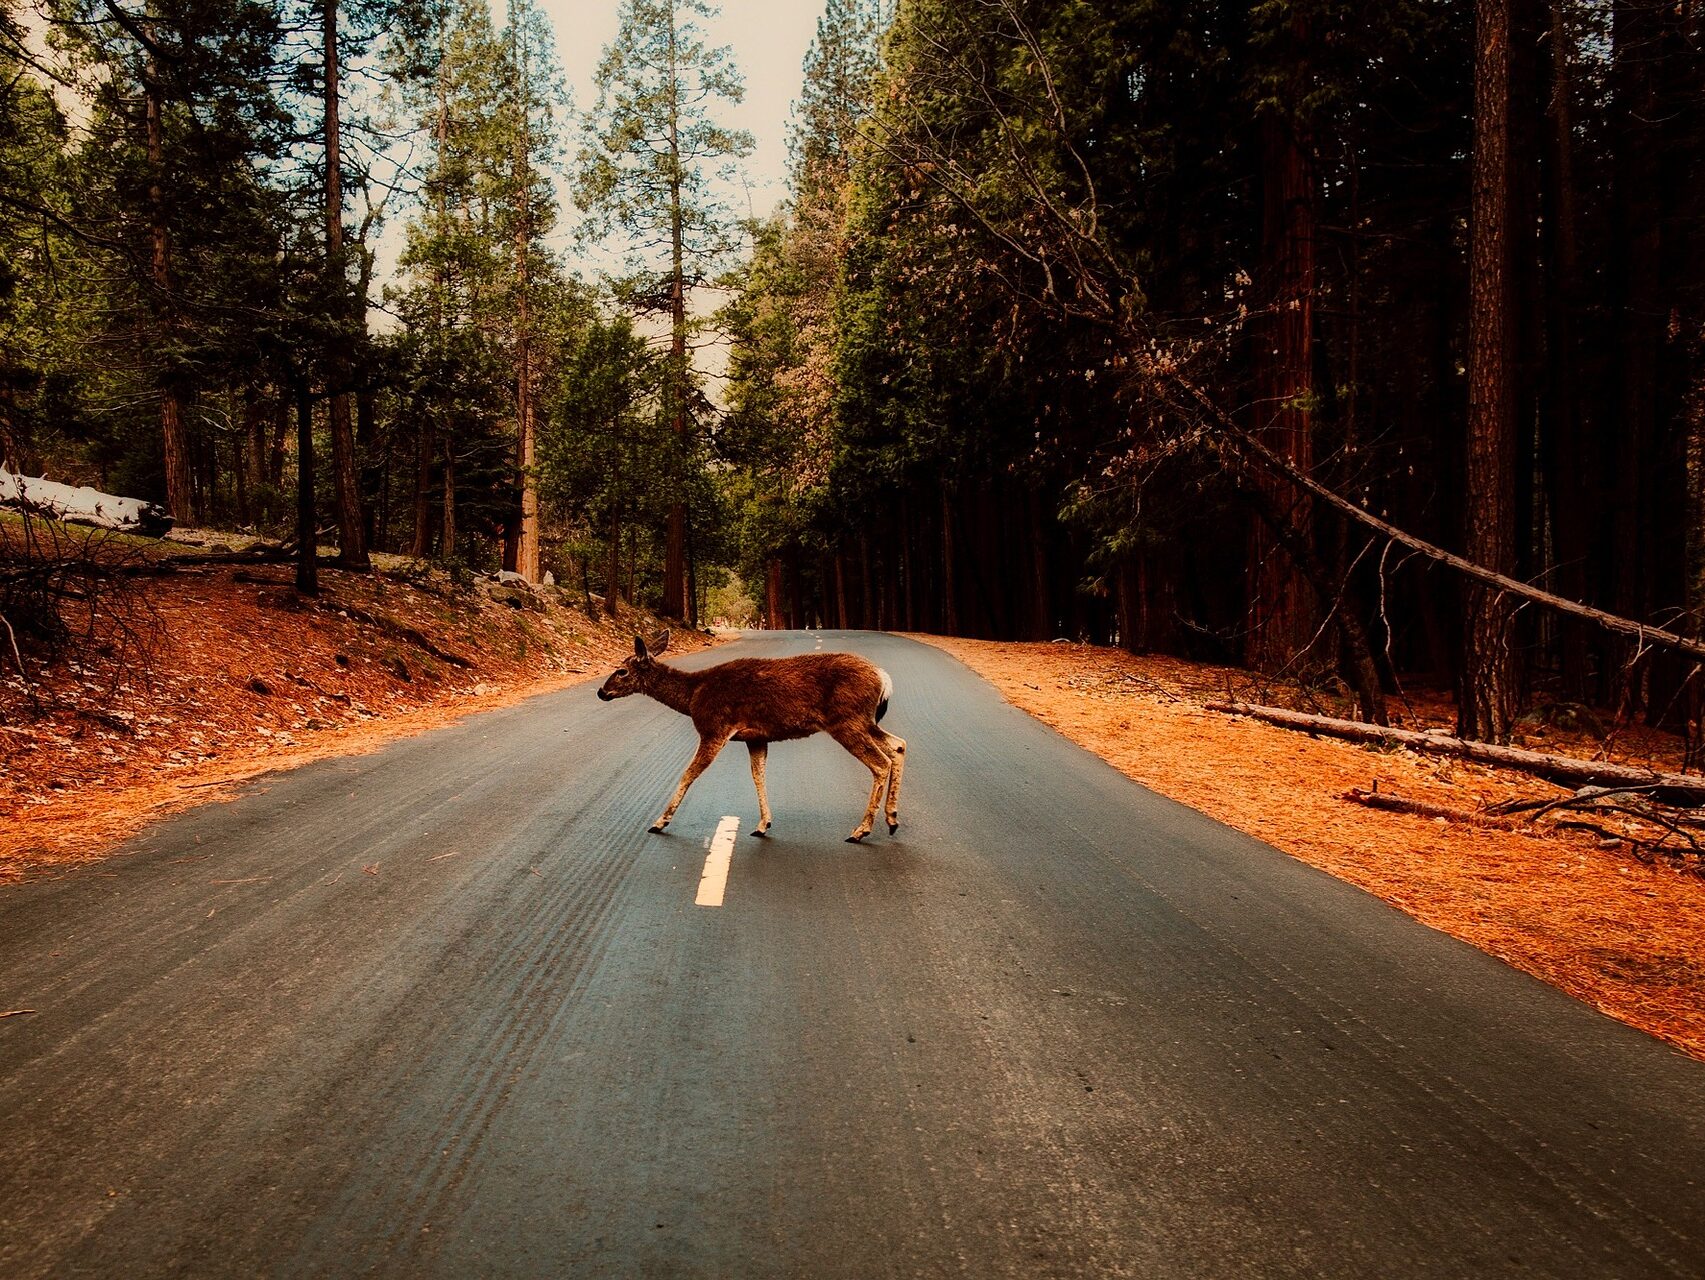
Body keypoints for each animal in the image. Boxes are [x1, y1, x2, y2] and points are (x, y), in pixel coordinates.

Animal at [596, 637, 907, 845]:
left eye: (622, 671)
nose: (601, 691)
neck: (693, 695)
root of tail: (884, 678)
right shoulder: (755, 737)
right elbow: (758, 775)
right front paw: (763, 824)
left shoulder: (715, 728)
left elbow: (688, 774)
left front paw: (660, 822)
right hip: (865, 721)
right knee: (899, 745)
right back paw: (891, 819)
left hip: (847, 720)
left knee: (880, 763)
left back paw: (861, 830)